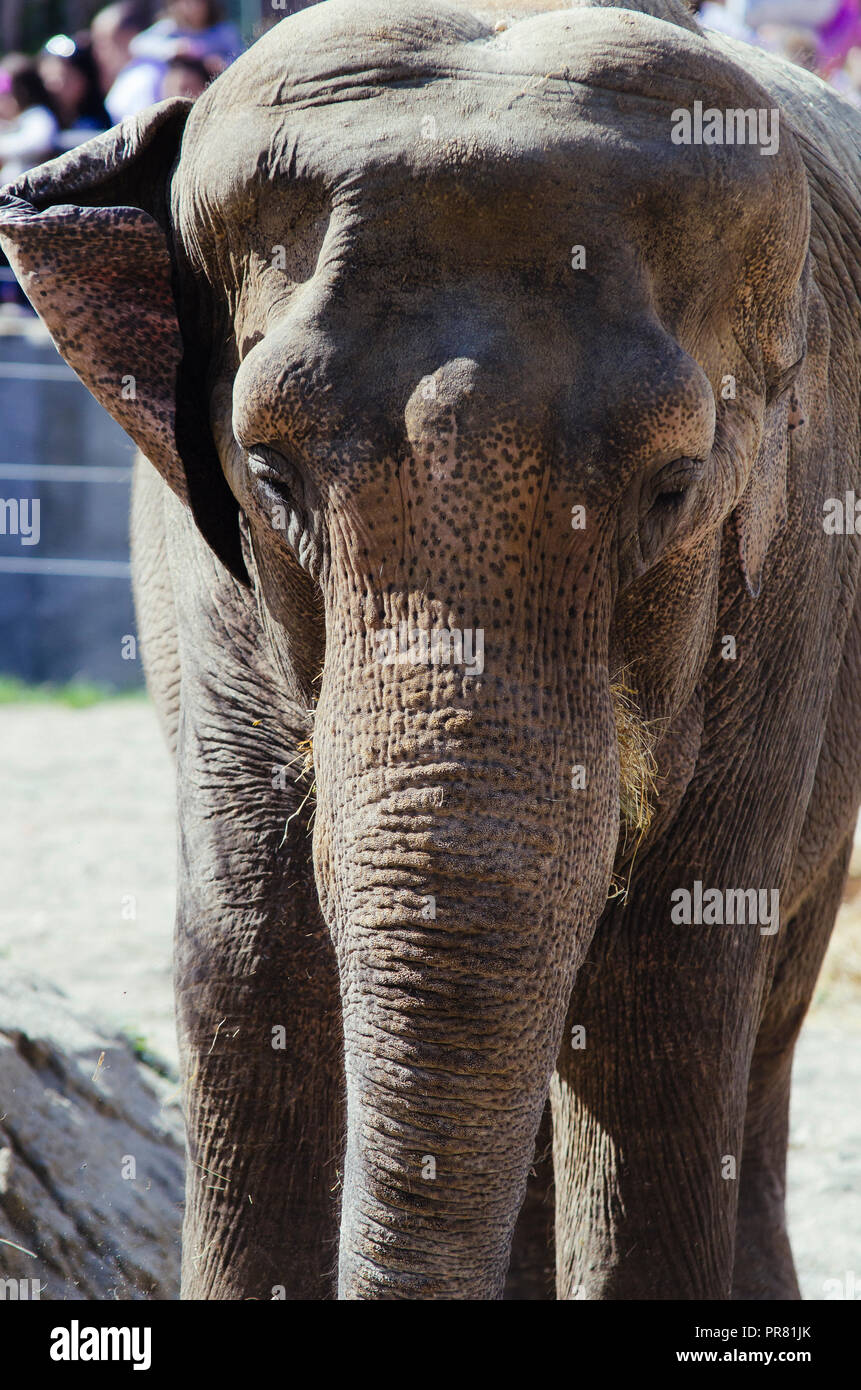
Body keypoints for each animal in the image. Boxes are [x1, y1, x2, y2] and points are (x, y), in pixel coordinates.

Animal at [1, 0, 861, 1301]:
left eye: (675, 487)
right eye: (269, 474)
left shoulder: (787, 586)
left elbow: (663, 999)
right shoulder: (213, 607)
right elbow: (249, 962)